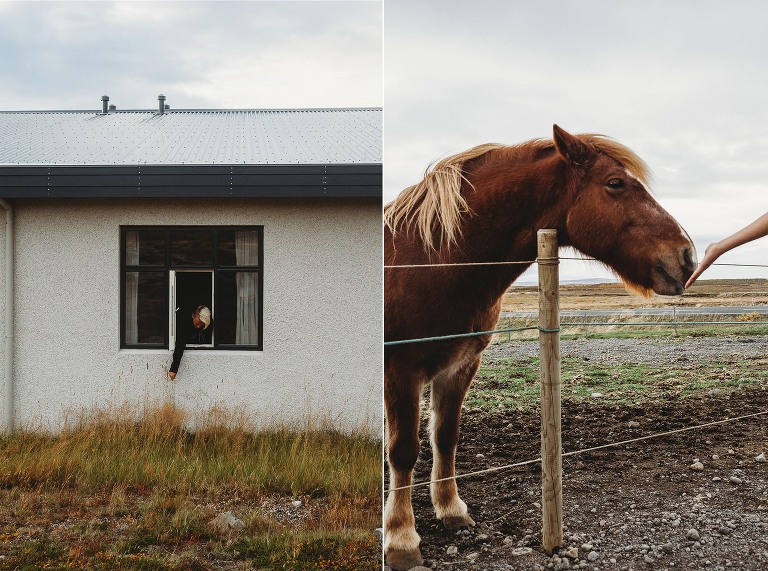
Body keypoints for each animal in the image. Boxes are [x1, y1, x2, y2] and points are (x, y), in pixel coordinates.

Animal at [383, 125, 696, 570]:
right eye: (615, 184)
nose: (686, 257)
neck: (430, 259)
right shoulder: (401, 371)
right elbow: (404, 451)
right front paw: (401, 539)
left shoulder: (460, 366)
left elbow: (445, 436)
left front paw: (451, 510)